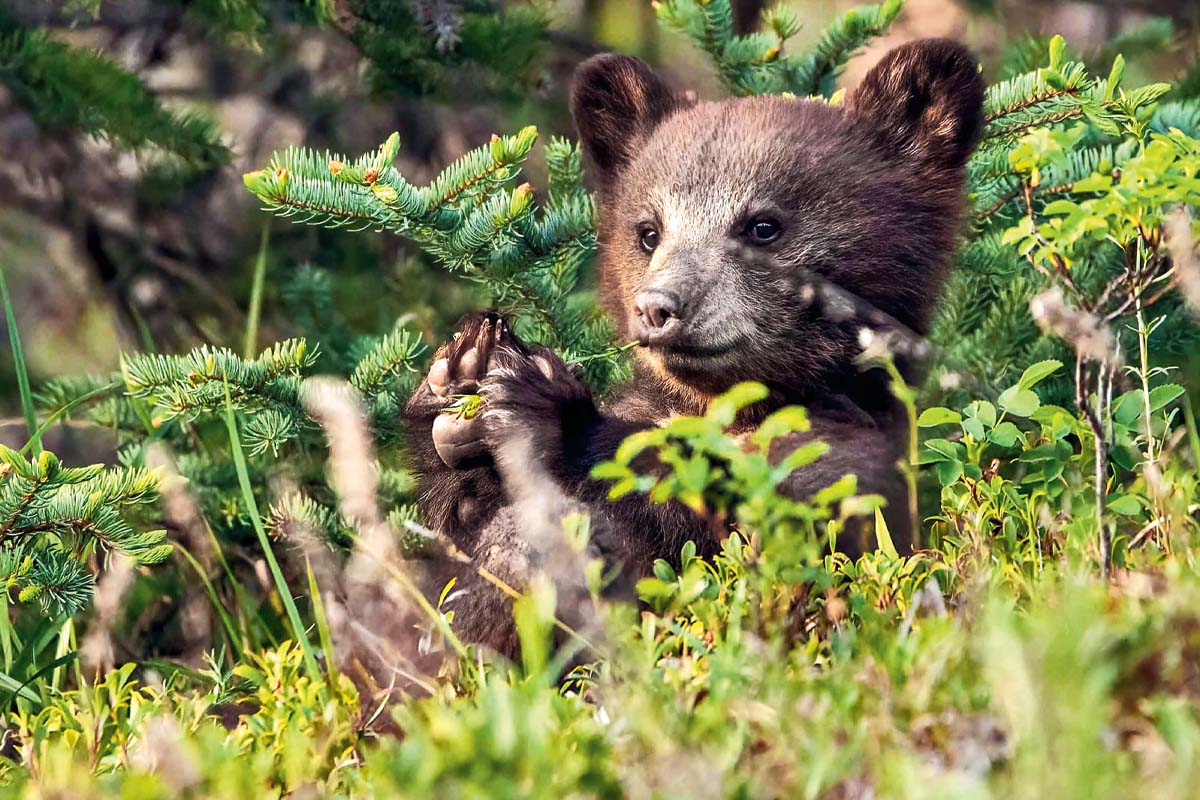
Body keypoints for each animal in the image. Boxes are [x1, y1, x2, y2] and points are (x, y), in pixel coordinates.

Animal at [402, 39, 985, 656]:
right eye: (648, 231)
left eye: (762, 225)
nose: (658, 308)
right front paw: (455, 392)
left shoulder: (847, 448)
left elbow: (759, 519)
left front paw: (546, 410)